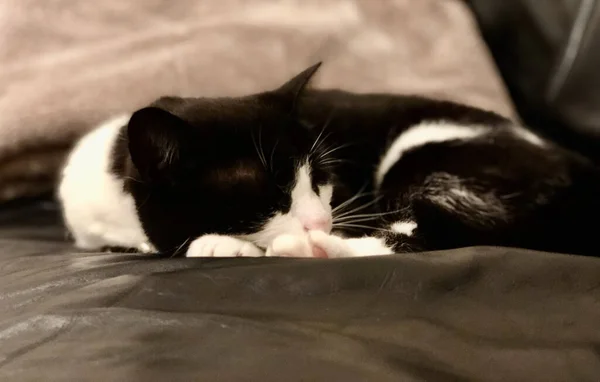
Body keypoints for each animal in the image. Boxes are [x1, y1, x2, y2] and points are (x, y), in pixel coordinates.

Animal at [58, 62, 600, 258]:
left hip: (437, 152)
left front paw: (217, 244)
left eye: (323, 178)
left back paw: (319, 249)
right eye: (267, 192)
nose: (322, 220)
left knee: (432, 231)